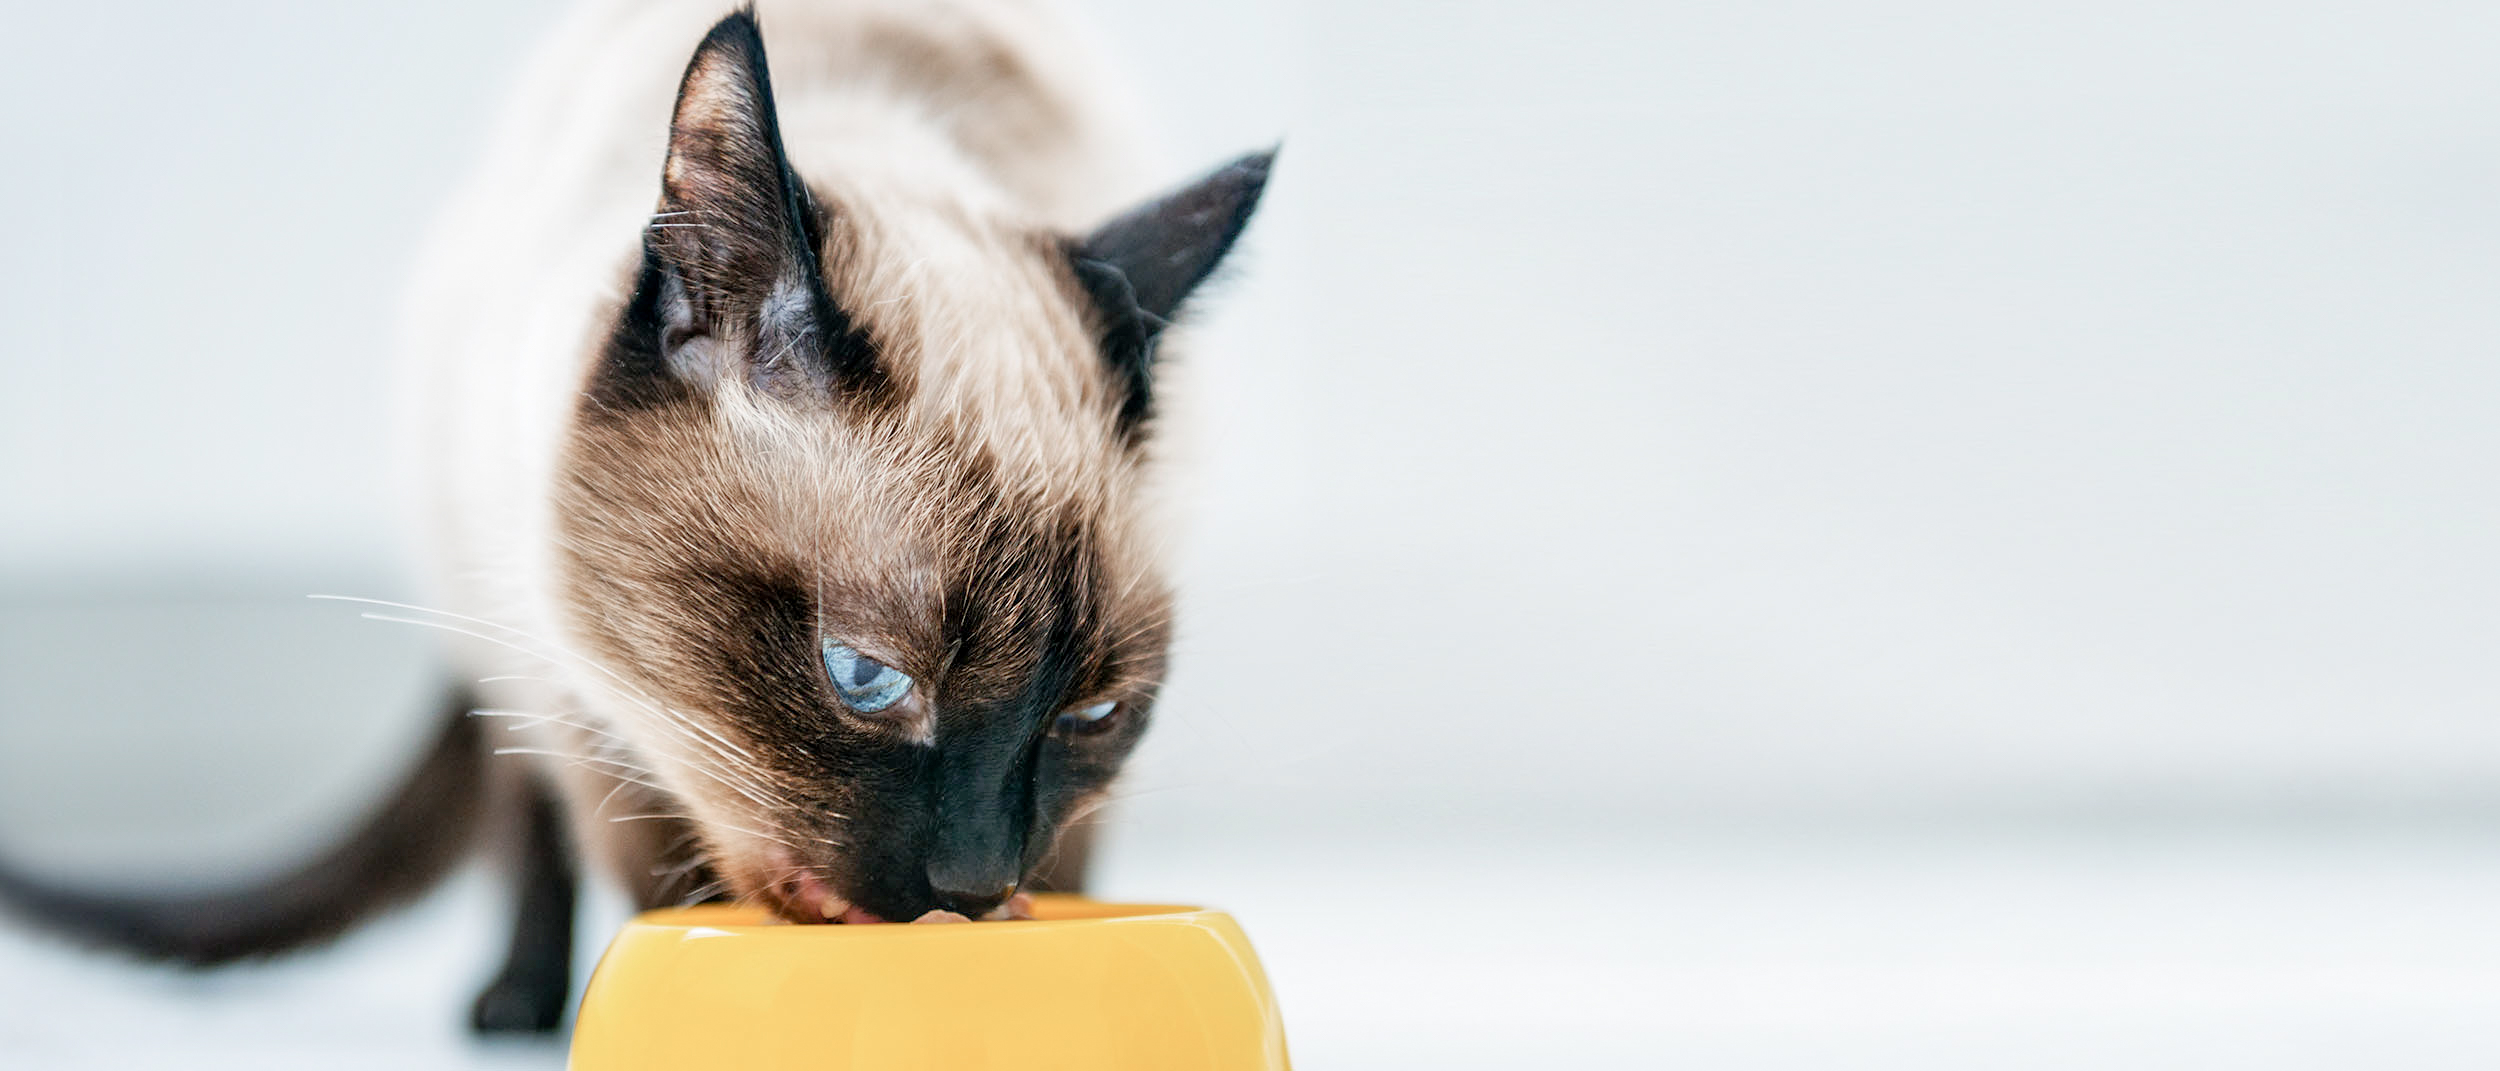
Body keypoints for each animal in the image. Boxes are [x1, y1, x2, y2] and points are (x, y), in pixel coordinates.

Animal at [4, 2, 1270, 1035]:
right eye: (864, 677)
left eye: (1092, 715)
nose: (969, 884)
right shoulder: (595, 709)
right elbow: (641, 880)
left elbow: (1077, 867)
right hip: (501, 614)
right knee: (524, 819)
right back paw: (514, 1004)